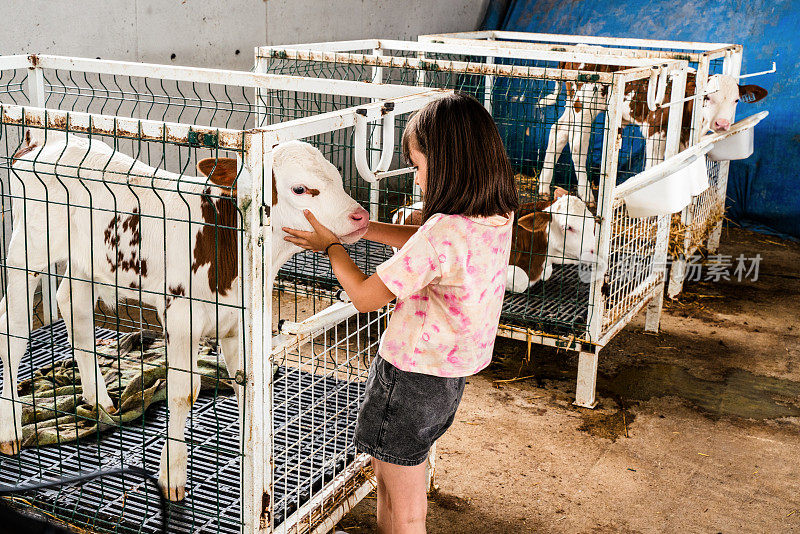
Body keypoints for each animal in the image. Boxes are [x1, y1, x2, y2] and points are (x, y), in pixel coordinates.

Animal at [0, 131, 368, 502]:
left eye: (337, 177)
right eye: (299, 189)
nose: (361, 216)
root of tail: (45, 138)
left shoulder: (240, 324)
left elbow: (245, 386)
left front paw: (254, 466)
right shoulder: (180, 321)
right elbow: (183, 391)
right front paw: (171, 474)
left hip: (89, 262)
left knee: (71, 306)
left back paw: (99, 399)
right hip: (26, 252)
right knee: (13, 329)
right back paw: (10, 429)